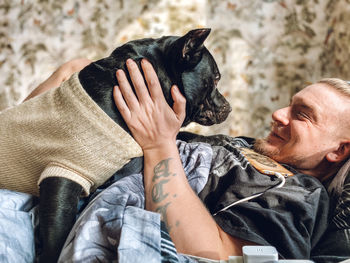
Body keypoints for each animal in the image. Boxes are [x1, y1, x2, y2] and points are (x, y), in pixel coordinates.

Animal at [34, 27, 230, 262]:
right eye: (216, 80)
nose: (229, 107)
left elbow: (182, 135)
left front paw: (216, 138)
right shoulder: (64, 176)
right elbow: (57, 234)